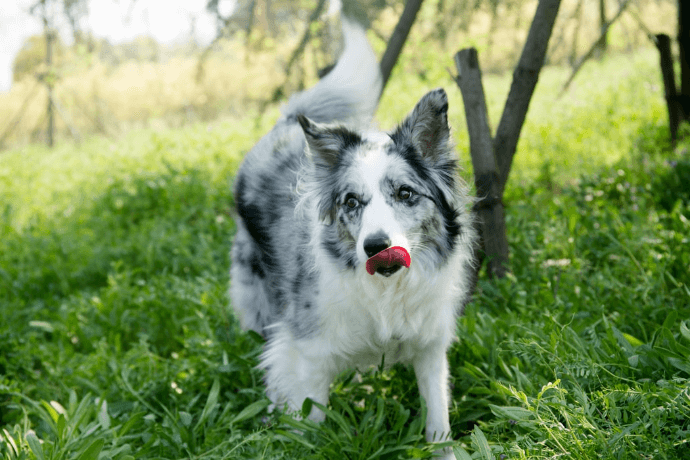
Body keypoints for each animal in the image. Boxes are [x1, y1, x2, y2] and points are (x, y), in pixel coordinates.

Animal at [228, 14, 476, 456]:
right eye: (352, 202)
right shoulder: (308, 351)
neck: (387, 292)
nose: (376, 247)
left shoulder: (431, 346)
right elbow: (310, 415)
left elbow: (438, 417)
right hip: (258, 303)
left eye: (405, 193)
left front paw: (442, 451)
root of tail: (287, 122)